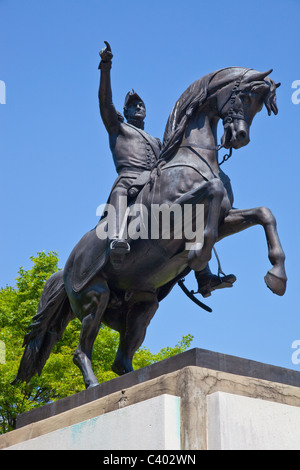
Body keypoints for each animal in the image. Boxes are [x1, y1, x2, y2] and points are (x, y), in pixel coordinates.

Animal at [13, 66, 286, 390]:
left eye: (259, 104)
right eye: (242, 96)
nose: (239, 136)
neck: (194, 158)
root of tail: (64, 270)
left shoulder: (223, 220)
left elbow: (264, 214)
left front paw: (276, 276)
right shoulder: (169, 216)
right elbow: (214, 190)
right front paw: (198, 254)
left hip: (143, 305)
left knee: (121, 360)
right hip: (95, 296)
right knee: (81, 351)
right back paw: (93, 384)